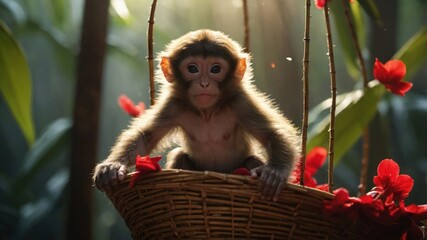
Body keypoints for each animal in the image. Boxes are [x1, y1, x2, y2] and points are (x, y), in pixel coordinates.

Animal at [93, 29, 300, 202]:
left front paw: (274, 172)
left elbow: (273, 133)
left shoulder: (240, 103)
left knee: (252, 161)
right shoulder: (174, 105)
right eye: (192, 68)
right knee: (179, 156)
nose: (204, 83)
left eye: (215, 69)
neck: (207, 111)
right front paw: (112, 167)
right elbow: (144, 137)